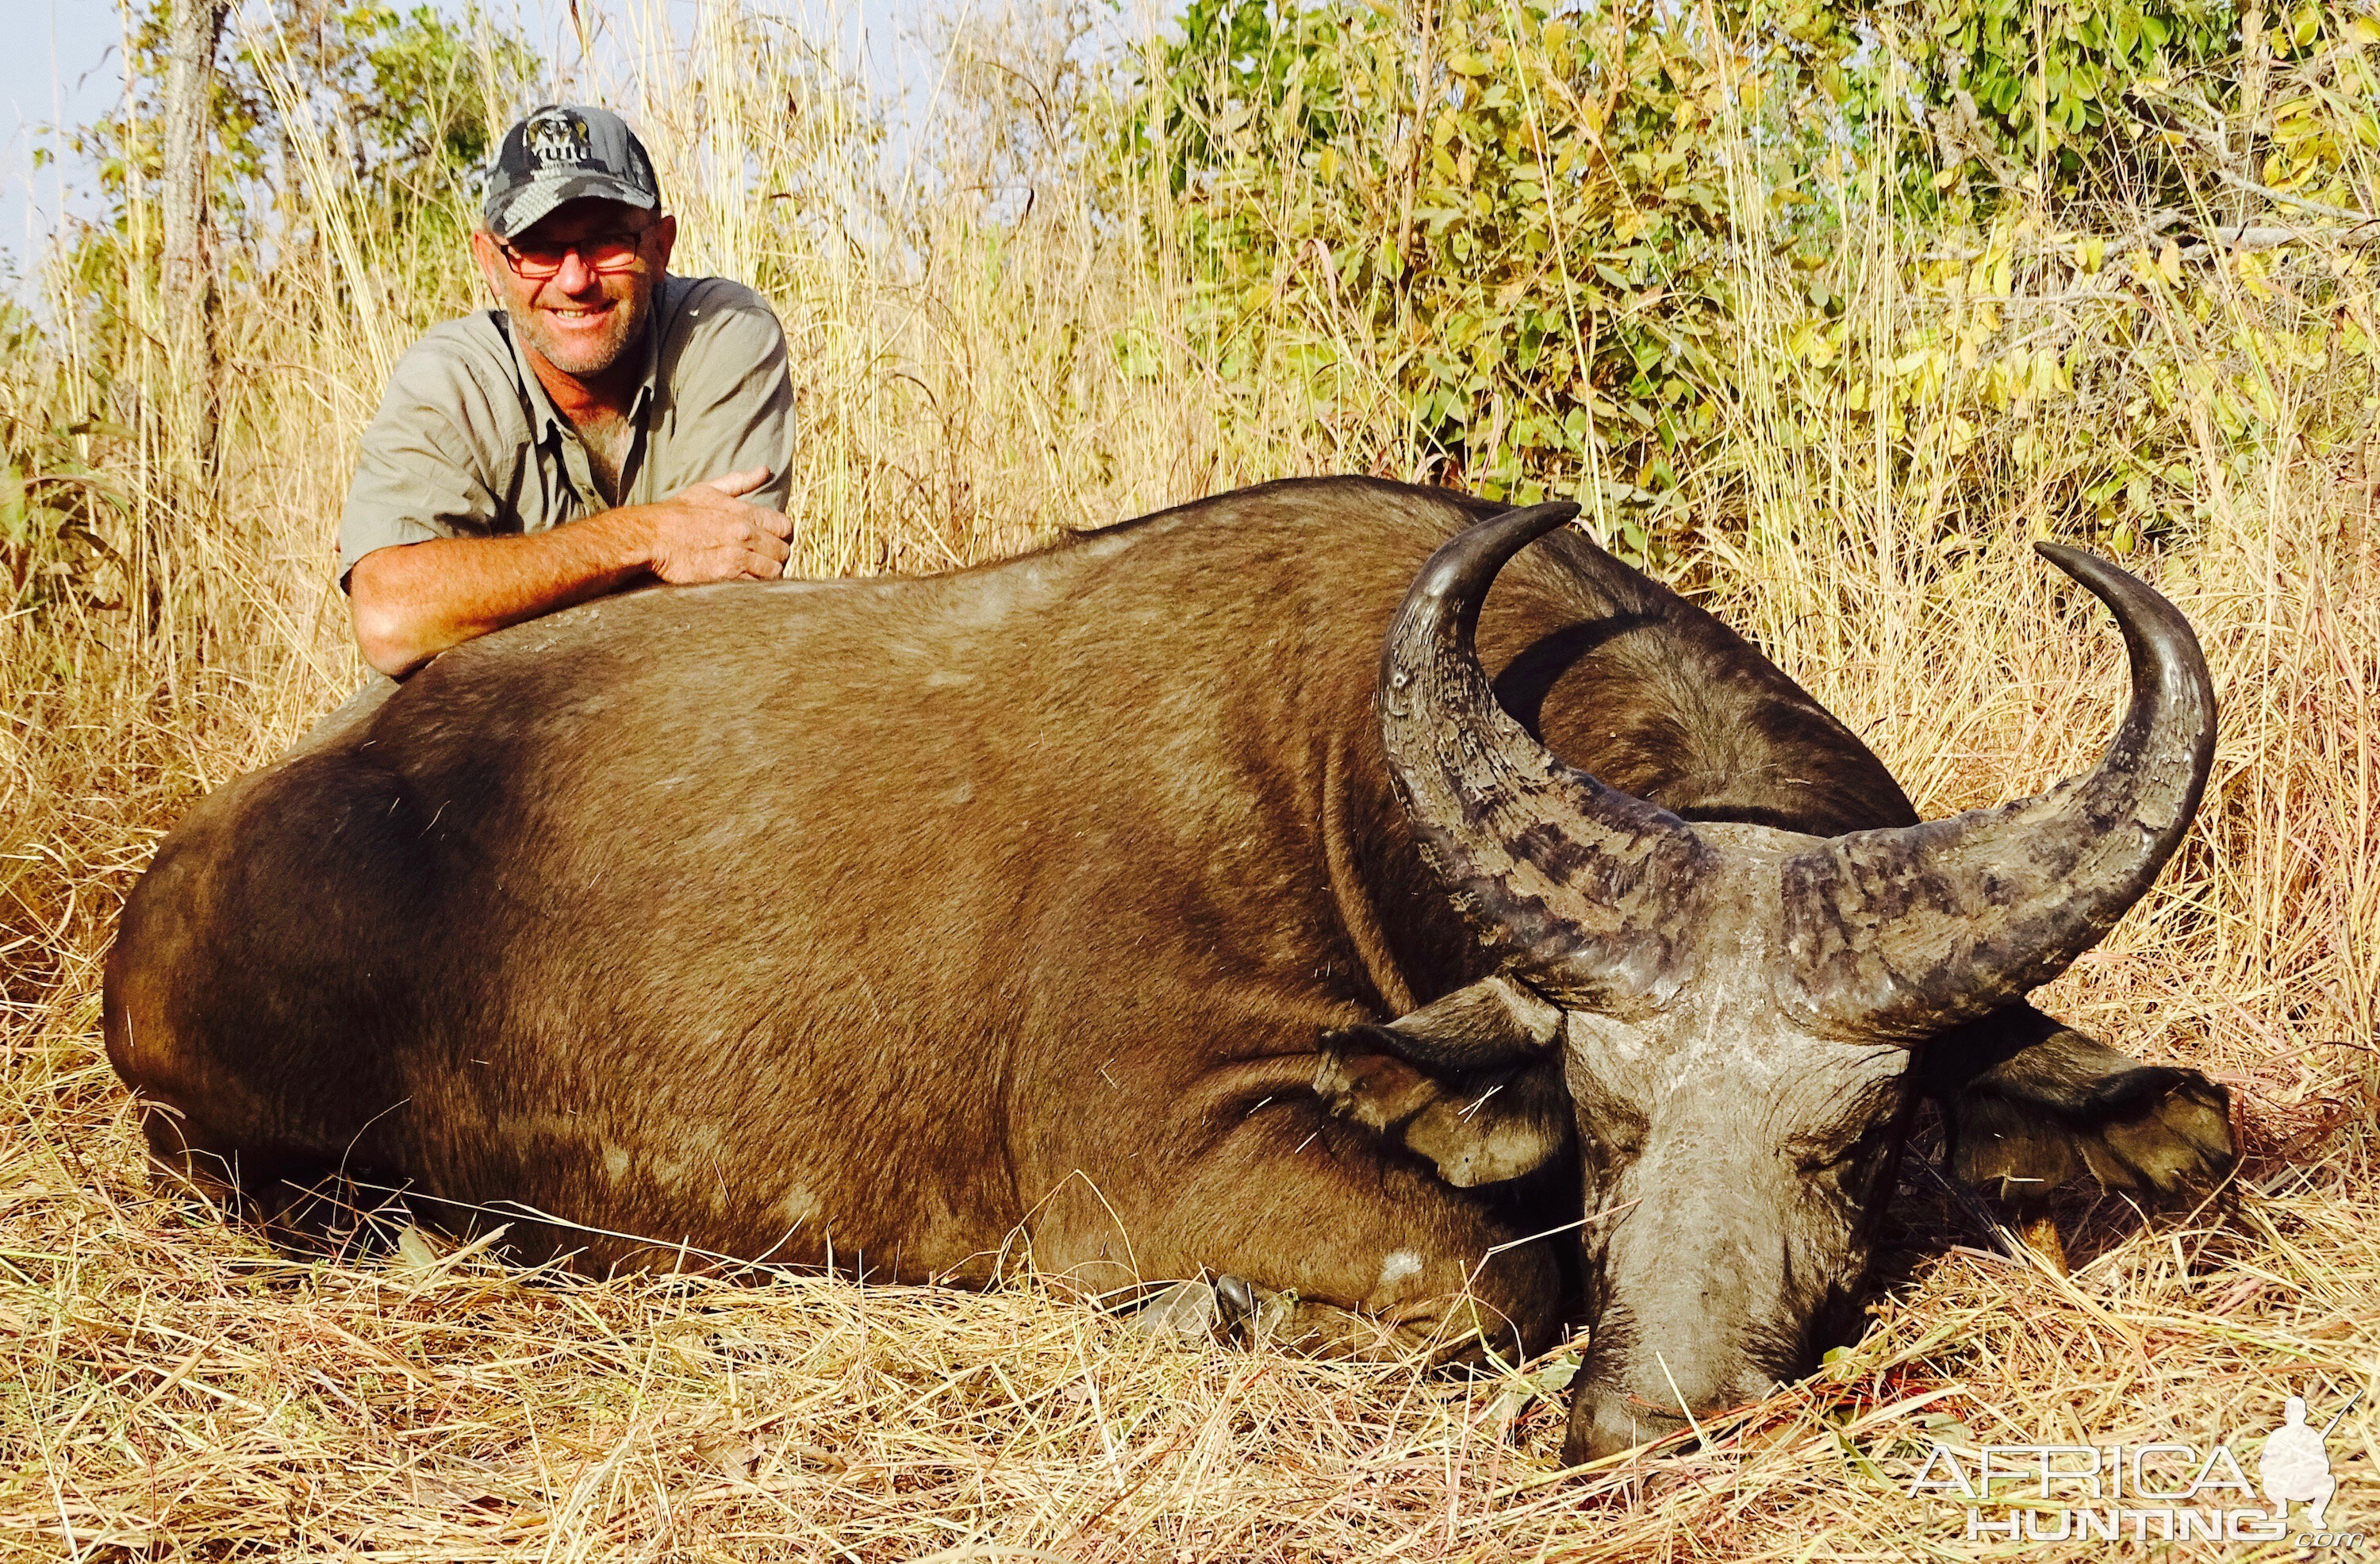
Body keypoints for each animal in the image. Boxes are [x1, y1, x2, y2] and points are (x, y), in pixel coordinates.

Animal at [107, 478, 2228, 1466]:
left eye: (1855, 1139)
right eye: (1602, 1112)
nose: (1654, 1422)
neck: (1345, 768)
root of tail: (178, 882)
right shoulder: (1162, 1163)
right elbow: (1496, 1274)